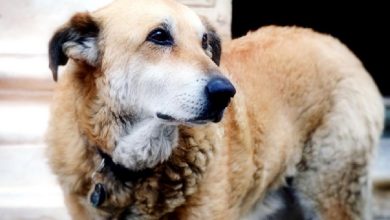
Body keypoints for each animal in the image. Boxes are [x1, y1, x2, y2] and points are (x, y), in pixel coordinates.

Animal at [45, 0, 384, 218]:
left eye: (205, 41)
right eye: (159, 36)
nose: (226, 93)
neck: (137, 169)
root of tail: (337, 45)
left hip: (331, 189)